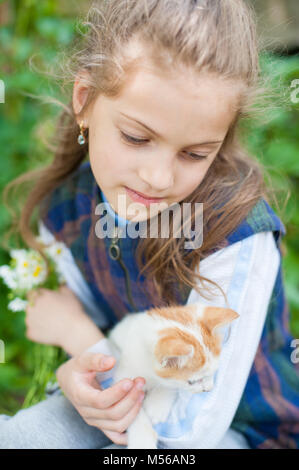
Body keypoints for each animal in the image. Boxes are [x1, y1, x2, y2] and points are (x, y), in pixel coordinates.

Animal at [99, 302, 240, 450]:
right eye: (191, 382)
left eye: (213, 373)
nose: (208, 389)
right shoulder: (123, 374)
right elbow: (130, 408)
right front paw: (142, 440)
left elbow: (167, 384)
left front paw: (157, 405)